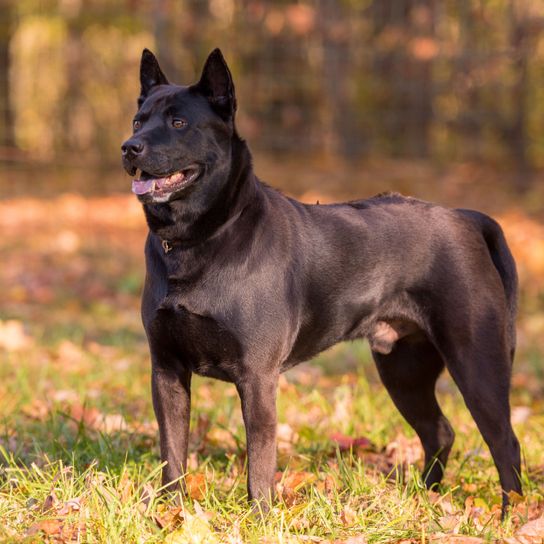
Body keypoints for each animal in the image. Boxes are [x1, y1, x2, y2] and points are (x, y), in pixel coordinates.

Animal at [121, 46, 520, 510]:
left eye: (179, 123)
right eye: (138, 120)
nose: (129, 147)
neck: (198, 239)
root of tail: (466, 218)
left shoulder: (257, 377)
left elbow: (259, 462)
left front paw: (260, 516)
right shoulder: (166, 370)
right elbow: (173, 453)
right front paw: (172, 513)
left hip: (476, 362)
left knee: (504, 442)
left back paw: (509, 515)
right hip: (403, 369)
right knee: (440, 431)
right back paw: (426, 497)